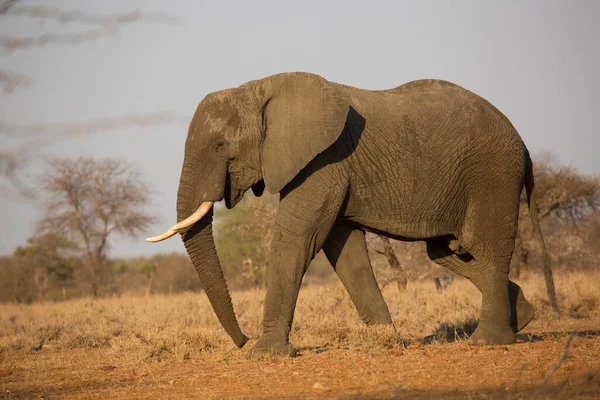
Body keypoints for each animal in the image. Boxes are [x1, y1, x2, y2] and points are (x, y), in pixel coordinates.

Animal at [148, 72, 560, 360]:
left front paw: (264, 354)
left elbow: (294, 240)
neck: (259, 88)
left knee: (485, 247)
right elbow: (344, 250)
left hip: (493, 175)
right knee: (446, 251)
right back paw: (524, 316)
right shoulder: (332, 169)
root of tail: (524, 147)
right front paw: (388, 341)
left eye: (221, 145)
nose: (242, 339)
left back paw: (488, 341)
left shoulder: (324, 161)